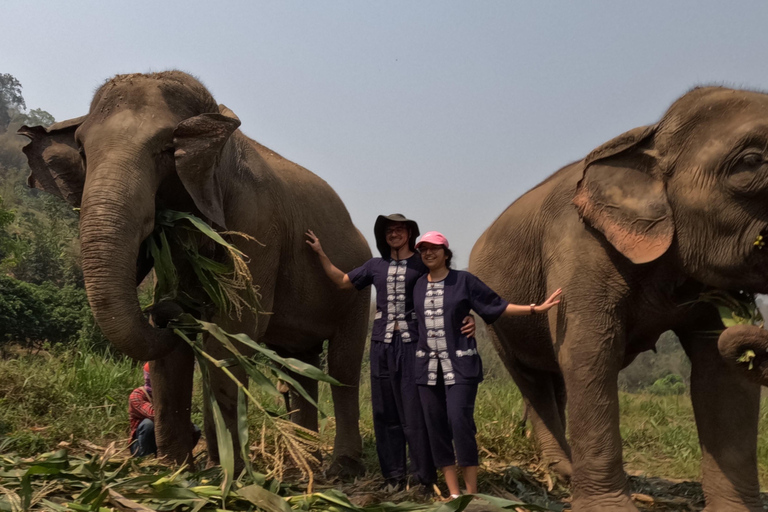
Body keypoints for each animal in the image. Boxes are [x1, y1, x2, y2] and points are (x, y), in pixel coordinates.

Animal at [19, 70, 374, 474]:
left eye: (166, 149)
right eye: (81, 150)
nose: (163, 310)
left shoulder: (258, 222)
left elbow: (235, 330)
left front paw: (231, 473)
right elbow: (174, 352)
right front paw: (173, 471)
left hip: (357, 291)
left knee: (343, 368)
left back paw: (341, 468)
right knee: (299, 367)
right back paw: (304, 464)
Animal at [464, 88, 768, 512]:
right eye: (752, 162)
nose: (749, 312)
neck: (651, 134)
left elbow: (721, 370)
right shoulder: (578, 243)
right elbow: (589, 351)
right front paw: (608, 507)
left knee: (555, 378)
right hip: (496, 323)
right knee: (532, 379)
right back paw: (562, 471)